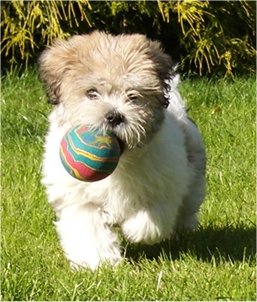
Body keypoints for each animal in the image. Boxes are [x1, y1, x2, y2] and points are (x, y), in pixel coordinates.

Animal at [38, 31, 206, 272]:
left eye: (133, 96)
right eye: (92, 93)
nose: (114, 116)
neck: (120, 164)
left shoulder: (164, 184)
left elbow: (151, 216)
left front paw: (135, 230)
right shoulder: (80, 199)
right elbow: (89, 229)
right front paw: (98, 263)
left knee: (187, 207)